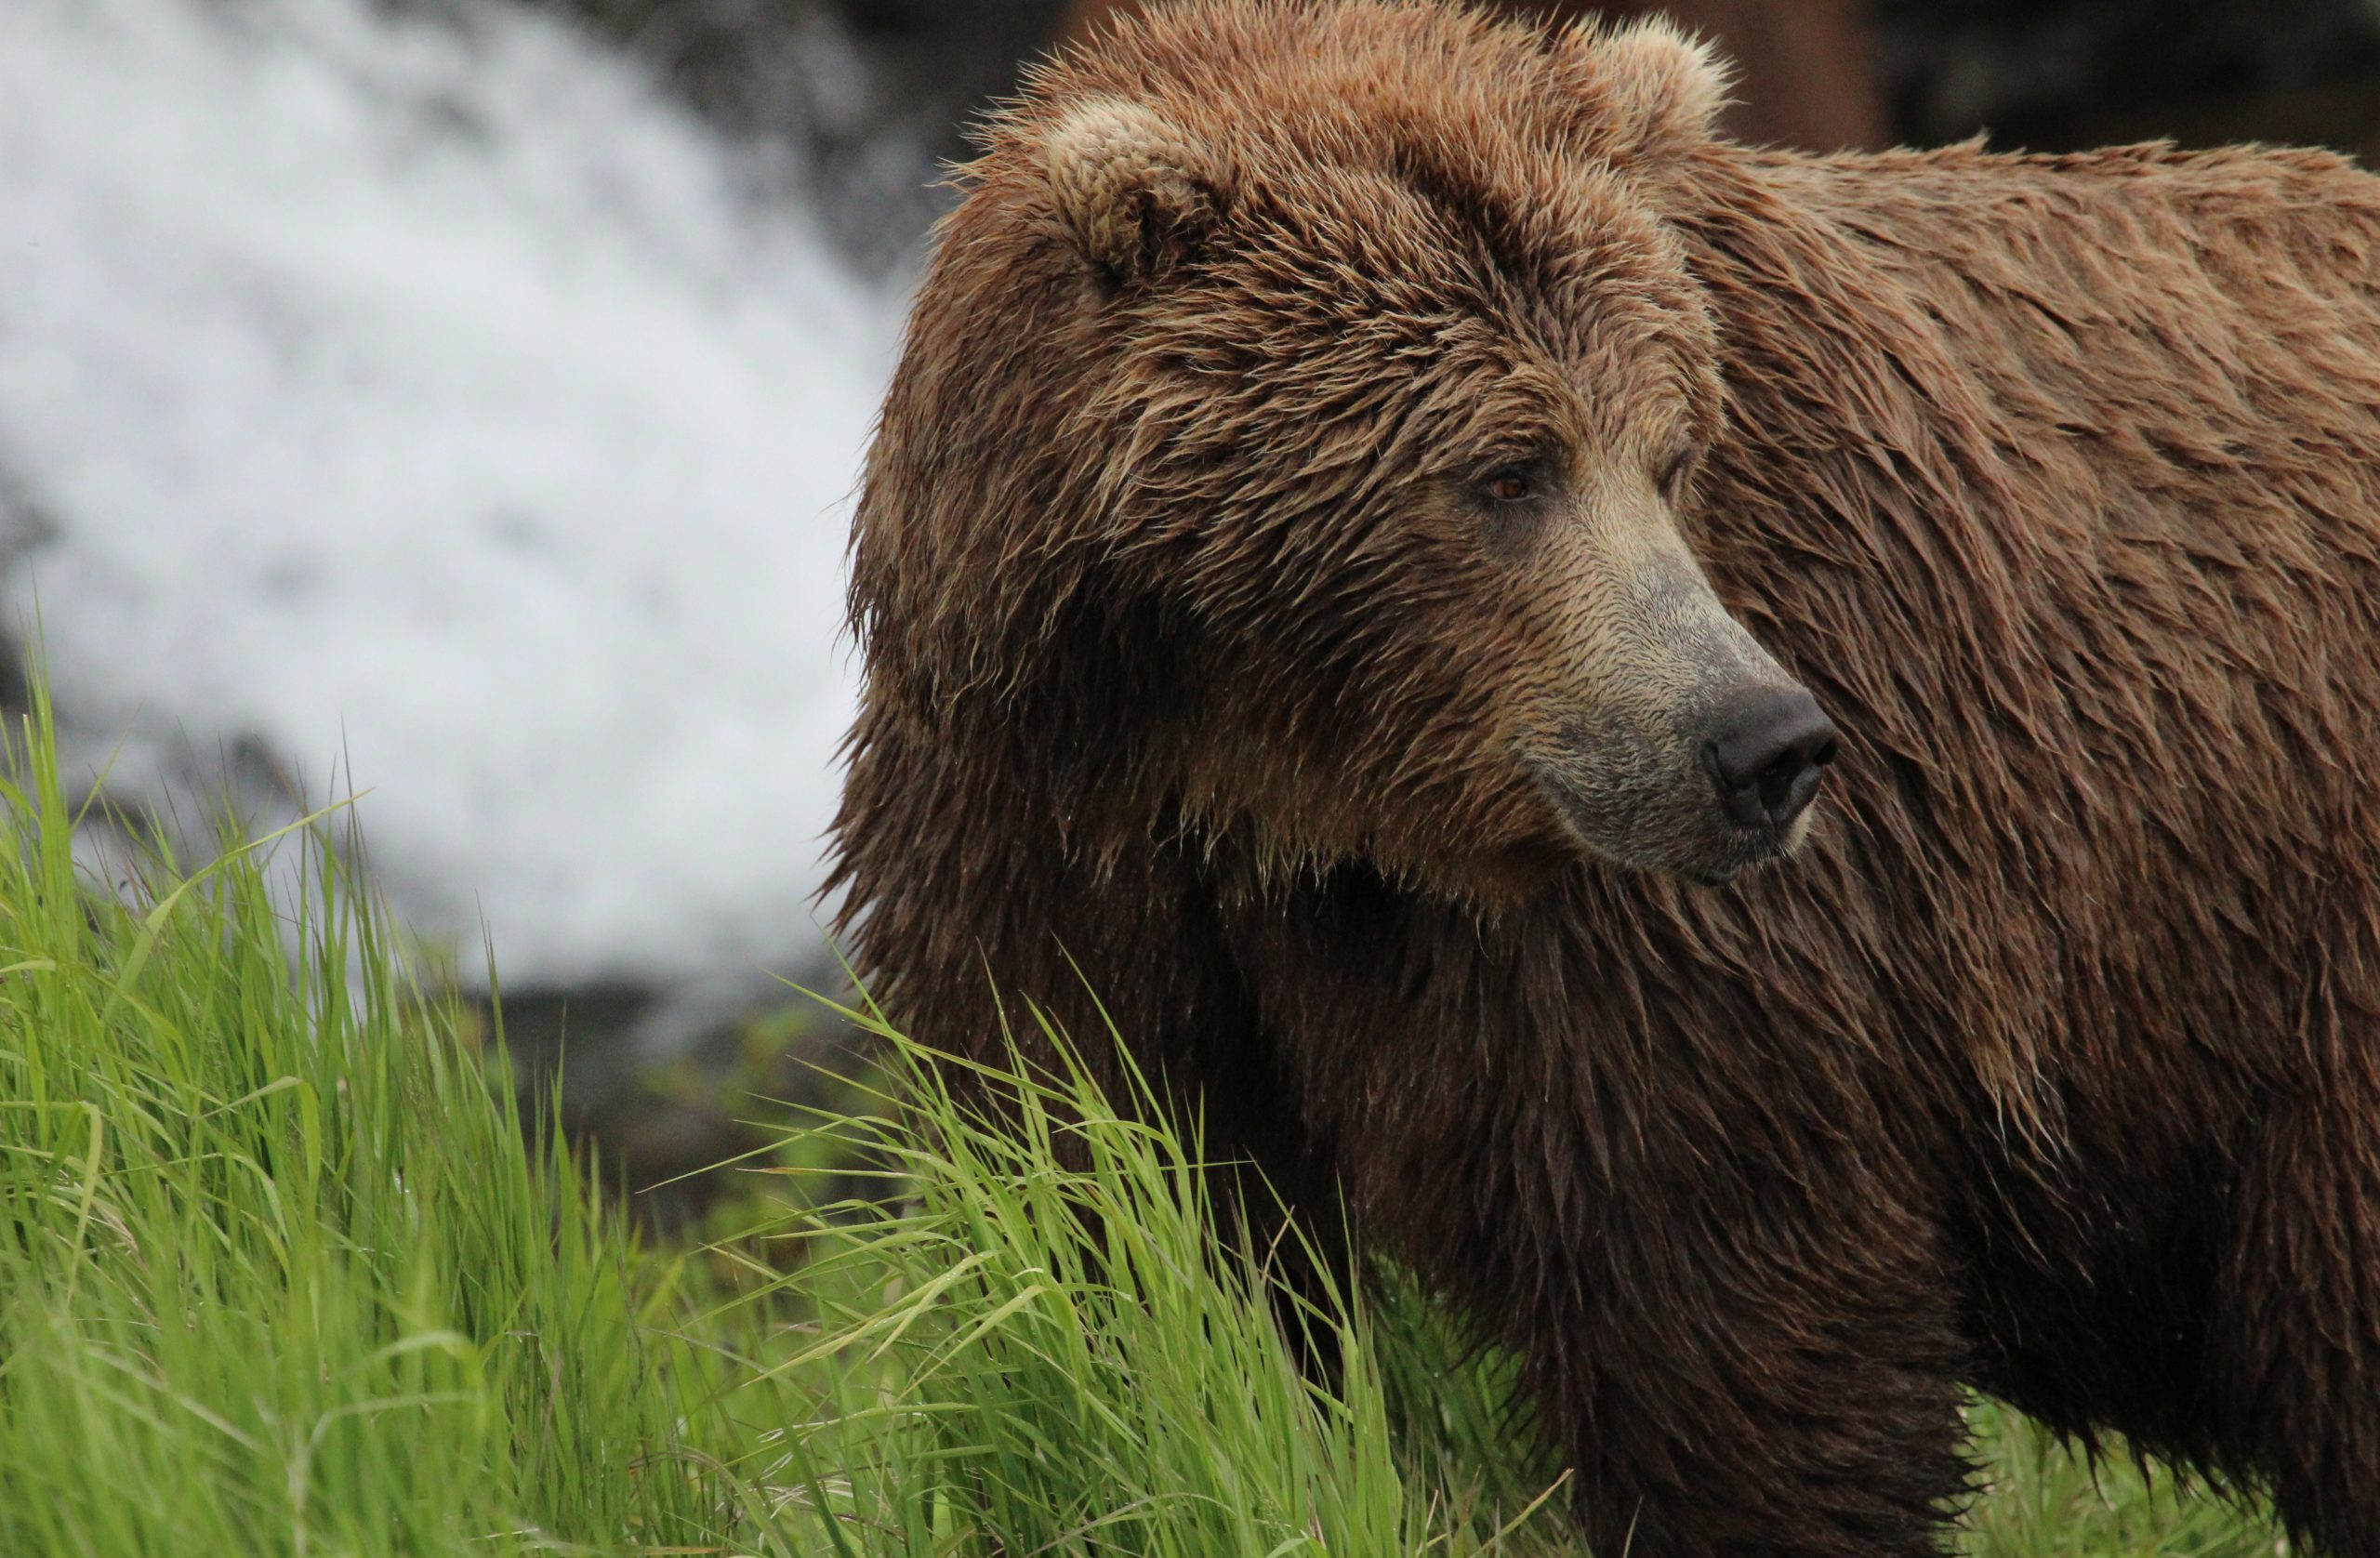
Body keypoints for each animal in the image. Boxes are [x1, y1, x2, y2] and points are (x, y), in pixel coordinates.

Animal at [827, 6, 2380, 1551]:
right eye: (1509, 472)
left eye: (1671, 452)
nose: (1767, 744)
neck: (1290, 783)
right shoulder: (1043, 814)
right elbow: (1119, 1214)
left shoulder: (1686, 949)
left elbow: (1721, 1336)